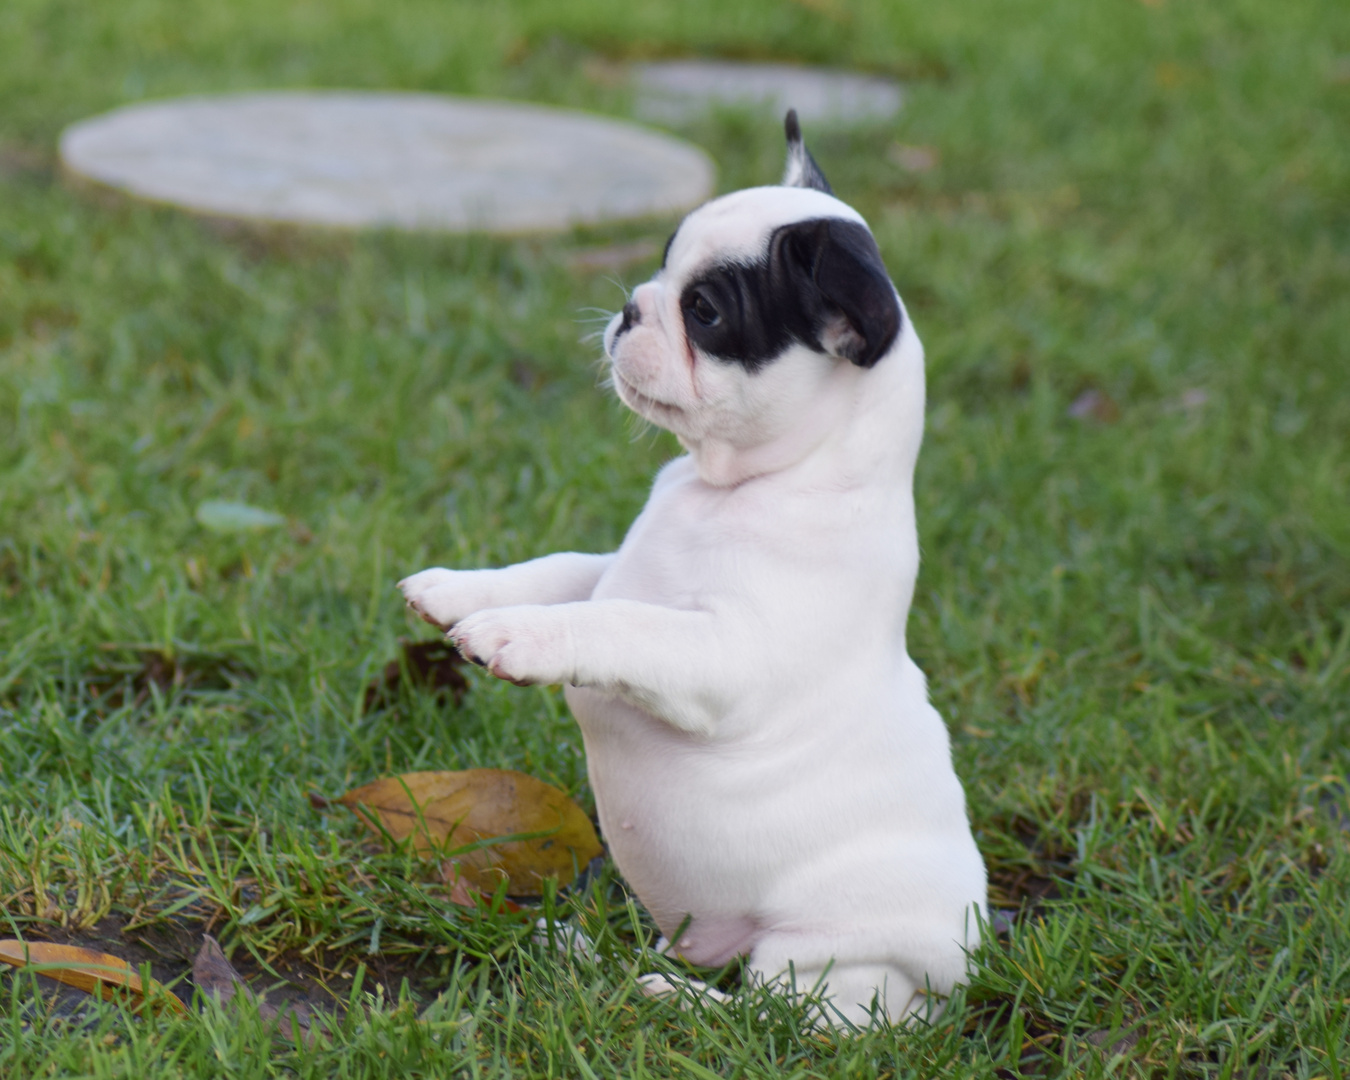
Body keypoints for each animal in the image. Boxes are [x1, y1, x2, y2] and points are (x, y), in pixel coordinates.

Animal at [394, 112, 988, 1031]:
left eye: (704, 312)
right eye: (664, 266)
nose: (631, 306)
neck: (737, 486)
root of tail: (955, 982)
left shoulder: (722, 657)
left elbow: (620, 623)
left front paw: (516, 638)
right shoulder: (614, 567)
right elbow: (565, 571)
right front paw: (459, 589)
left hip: (822, 952)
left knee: (776, 1017)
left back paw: (668, 995)